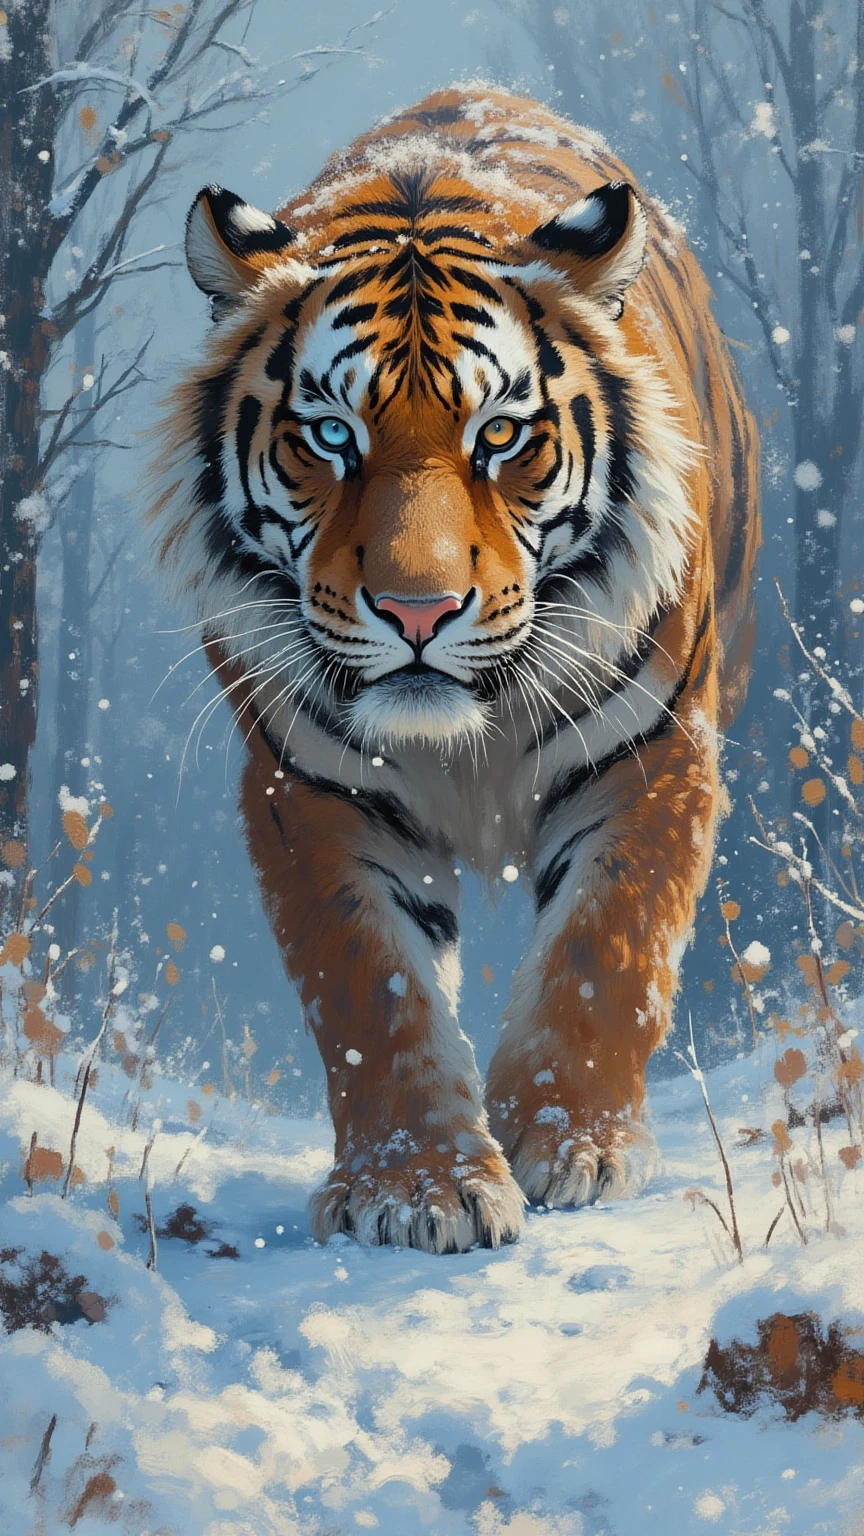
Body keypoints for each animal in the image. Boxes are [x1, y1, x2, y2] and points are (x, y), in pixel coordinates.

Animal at [151, 84, 759, 1255]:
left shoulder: (654, 755)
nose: (419, 609)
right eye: (329, 436)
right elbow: (372, 993)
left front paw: (570, 1147)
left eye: (503, 435)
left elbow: (605, 952)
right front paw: (419, 1187)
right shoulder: (311, 789)